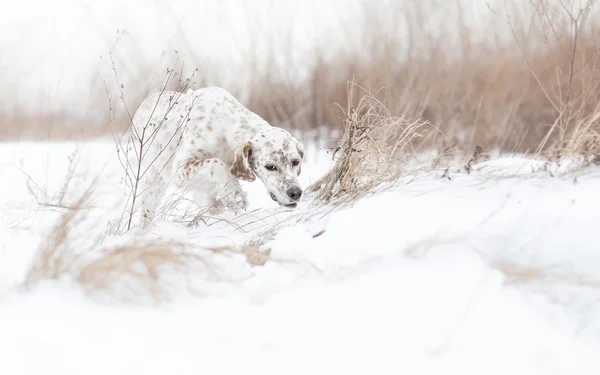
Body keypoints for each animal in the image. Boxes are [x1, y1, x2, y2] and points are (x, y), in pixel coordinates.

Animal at [126, 86, 304, 226]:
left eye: (296, 162)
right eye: (270, 166)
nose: (295, 193)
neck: (225, 128)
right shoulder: (180, 169)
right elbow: (216, 164)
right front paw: (235, 195)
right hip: (153, 183)